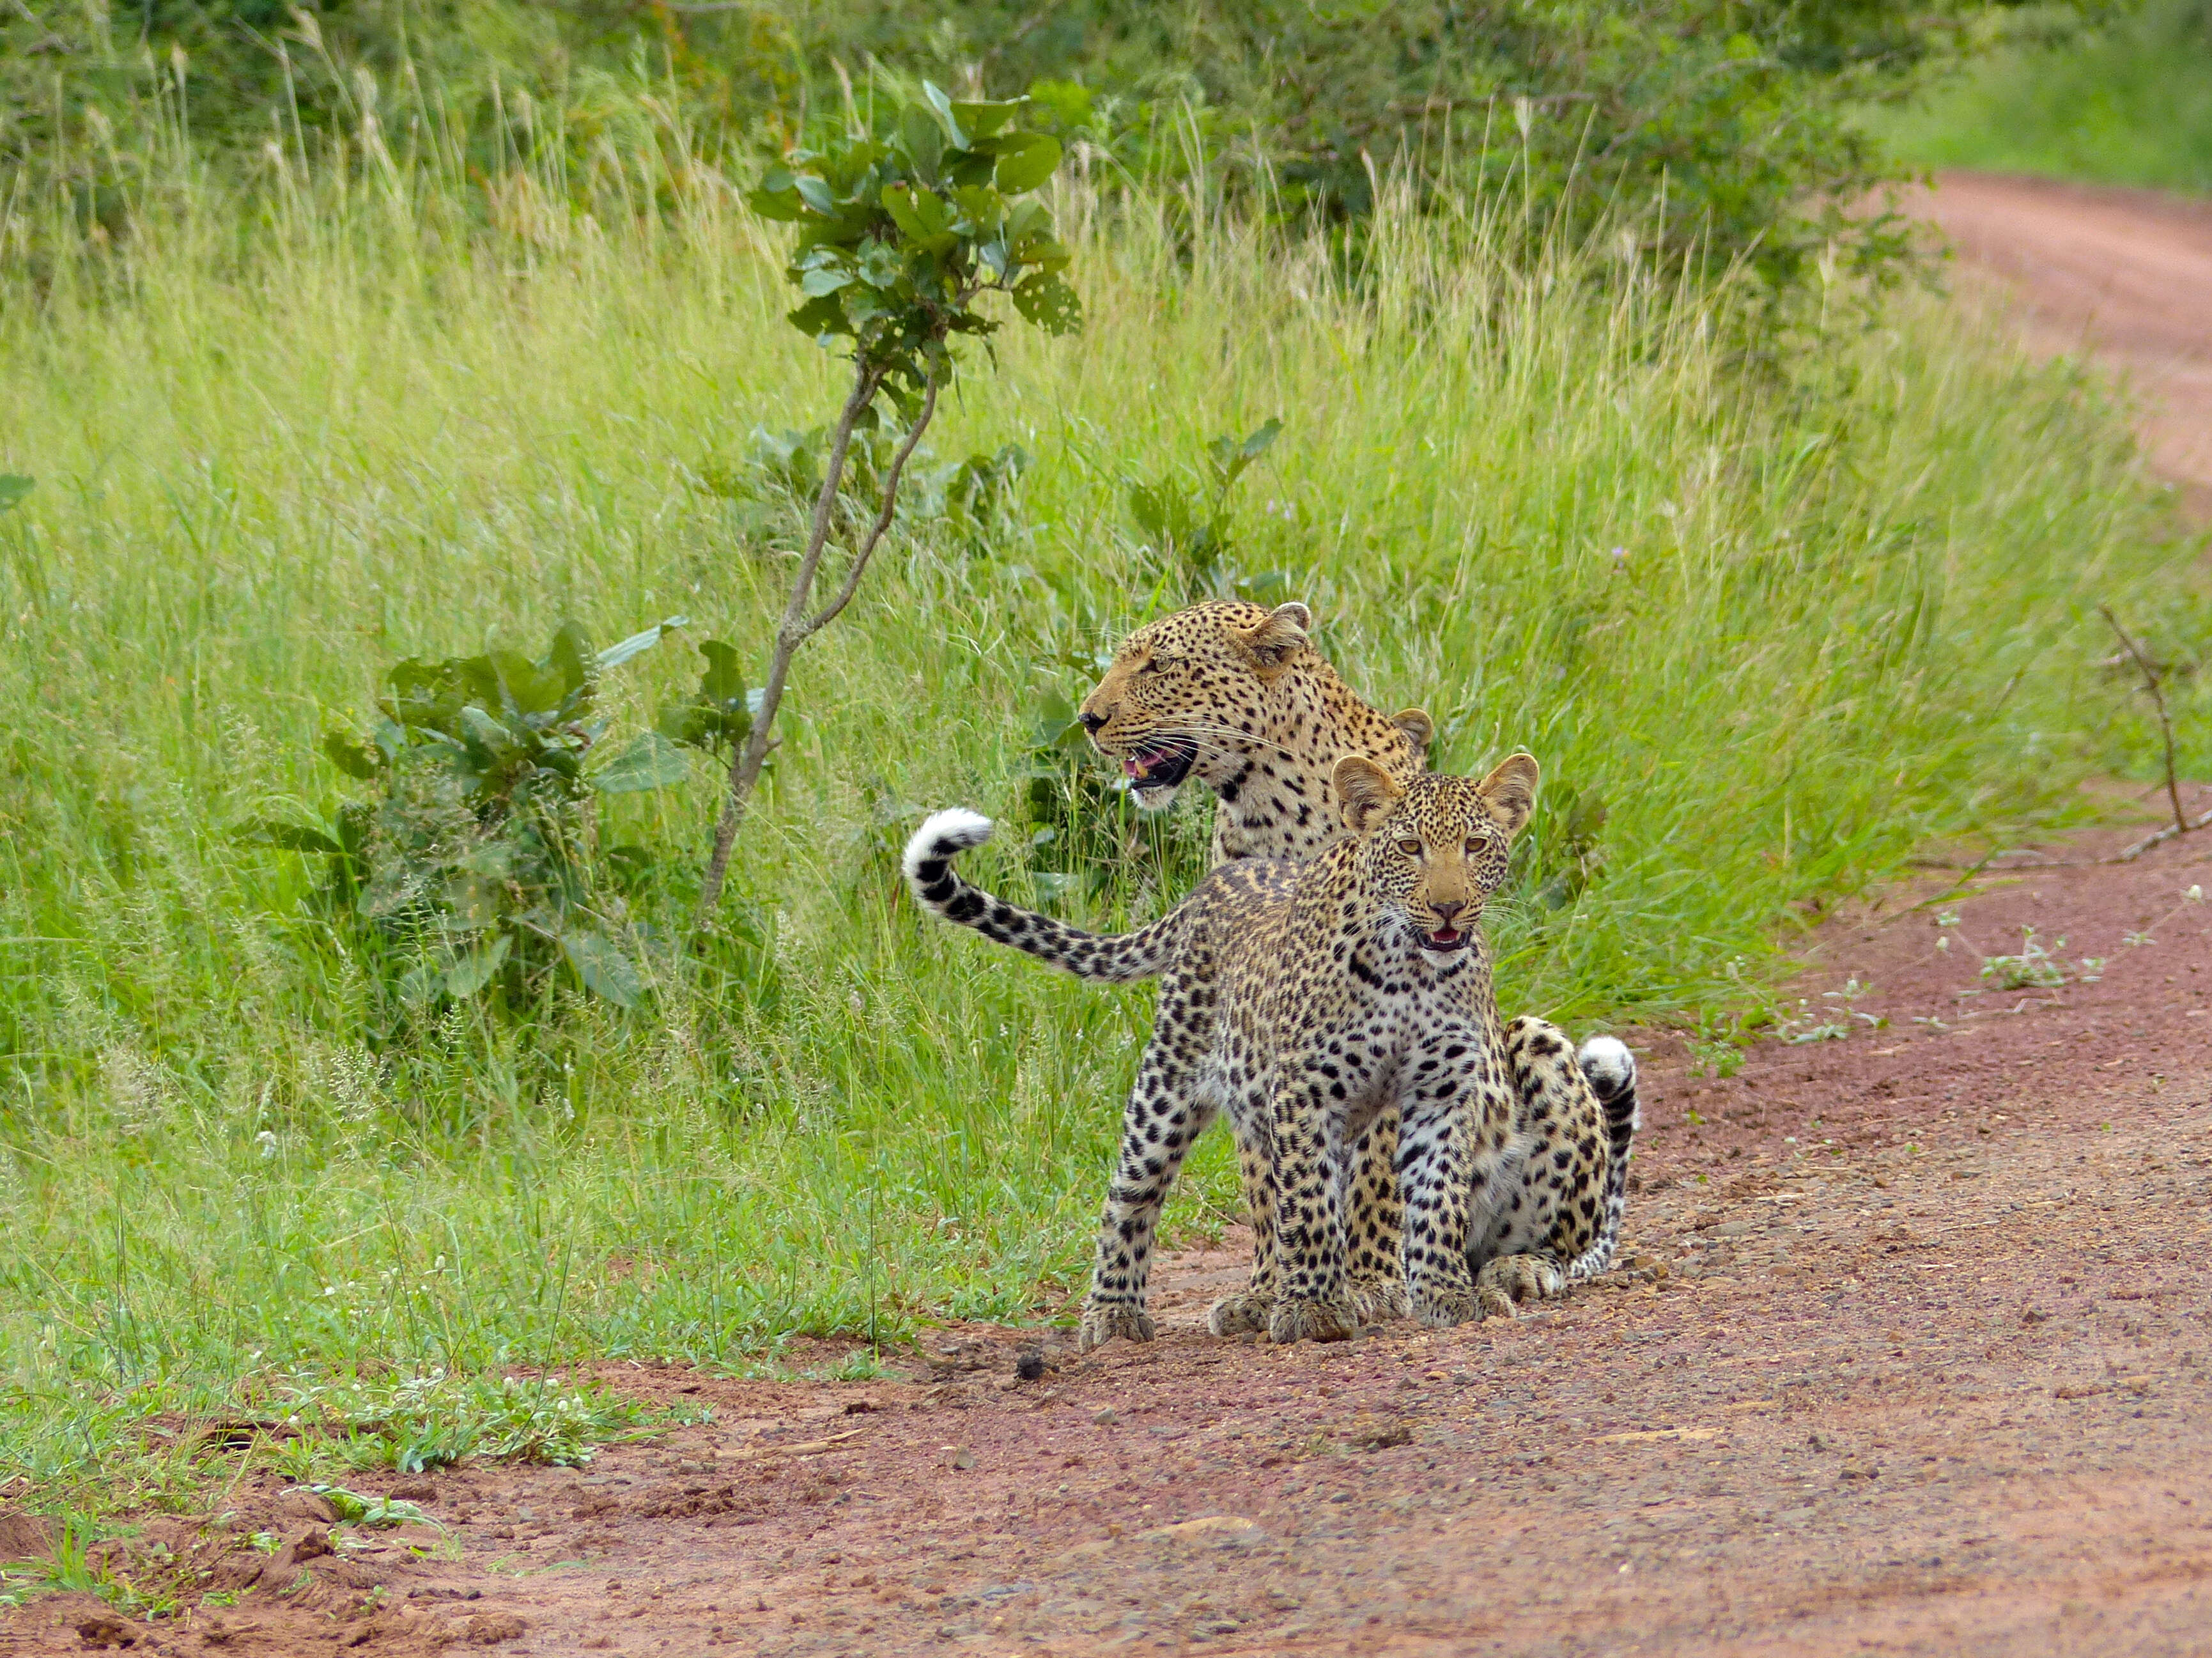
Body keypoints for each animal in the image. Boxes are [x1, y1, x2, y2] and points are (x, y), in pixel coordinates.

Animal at [1079, 602, 1637, 1328]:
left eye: (1160, 666)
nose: (1087, 719)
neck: (1260, 802)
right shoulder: (1258, 1025)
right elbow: (1266, 1179)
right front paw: (1269, 1288)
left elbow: (1377, 1172)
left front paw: (1371, 1280)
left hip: (1535, 1049)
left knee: (1558, 1239)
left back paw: (1513, 1268)